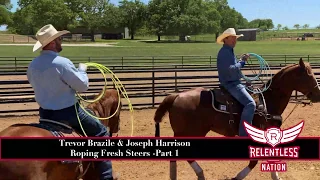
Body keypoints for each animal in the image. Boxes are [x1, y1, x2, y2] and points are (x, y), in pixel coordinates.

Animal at [154, 58, 320, 180]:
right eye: (308, 76)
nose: (317, 95)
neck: (268, 101)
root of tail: (176, 96)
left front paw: (276, 176)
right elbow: (254, 161)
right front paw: (237, 177)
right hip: (193, 132)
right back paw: (200, 174)